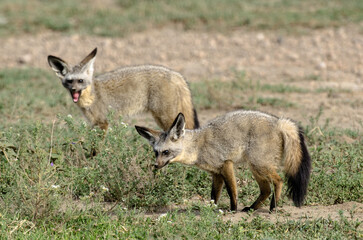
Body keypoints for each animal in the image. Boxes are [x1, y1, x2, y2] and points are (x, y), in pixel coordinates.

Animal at [47, 47, 200, 132]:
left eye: (80, 81)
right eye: (69, 81)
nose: (74, 90)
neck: (92, 96)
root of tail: (176, 74)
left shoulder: (103, 123)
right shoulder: (94, 123)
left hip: (167, 118)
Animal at [135, 110, 312, 212]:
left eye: (166, 152)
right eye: (156, 153)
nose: (156, 165)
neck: (198, 146)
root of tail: (279, 121)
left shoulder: (226, 164)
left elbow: (232, 190)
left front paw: (232, 209)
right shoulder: (216, 173)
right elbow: (214, 195)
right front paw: (211, 209)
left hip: (259, 166)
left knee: (279, 181)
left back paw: (273, 207)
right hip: (255, 167)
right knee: (266, 190)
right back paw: (252, 208)